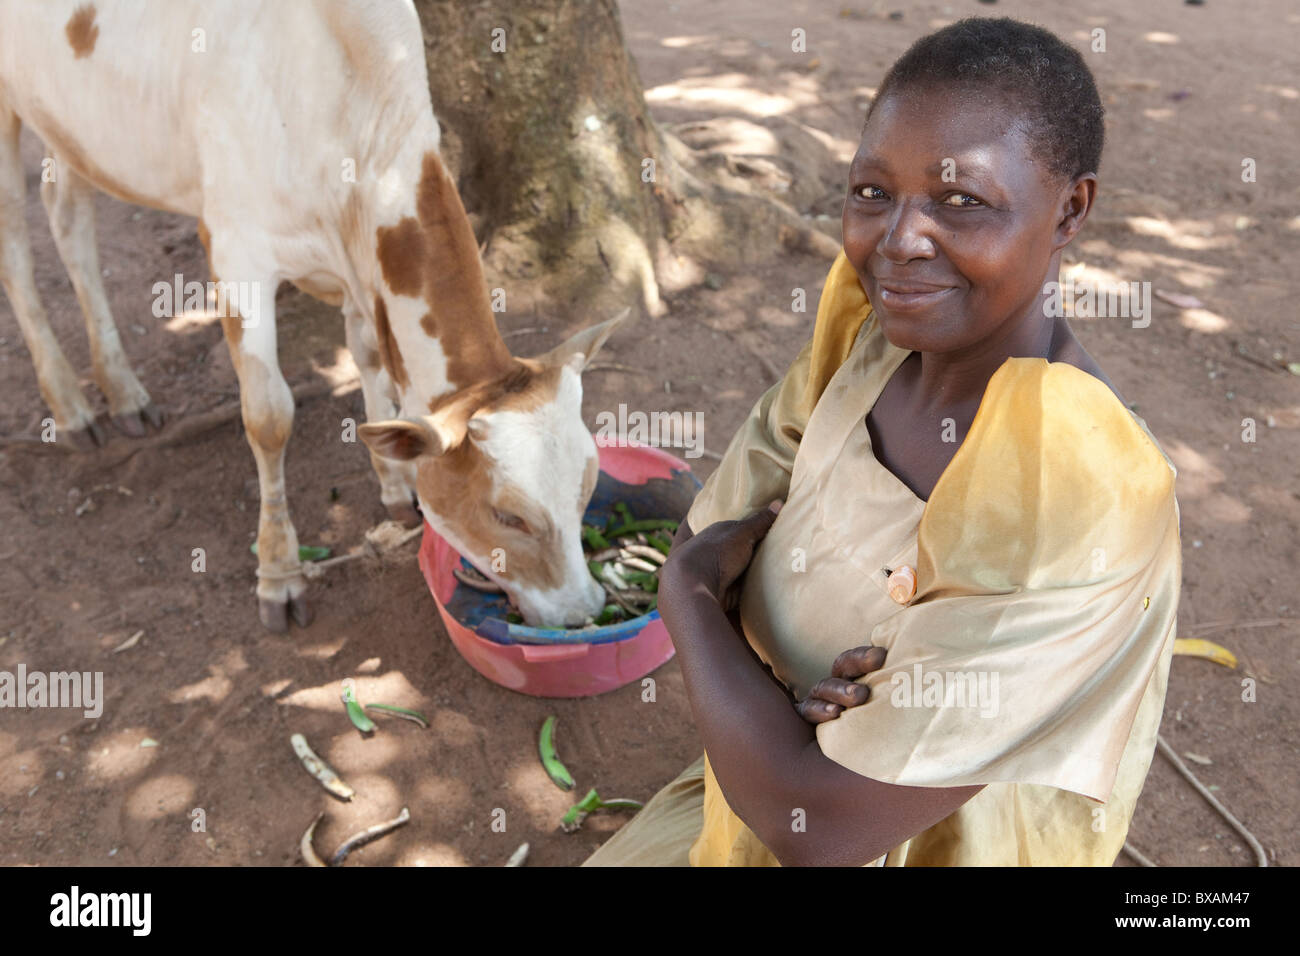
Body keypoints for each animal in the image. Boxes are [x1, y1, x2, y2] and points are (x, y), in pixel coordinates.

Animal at [0, 0, 618, 632]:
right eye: (507, 516)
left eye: (587, 485)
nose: (585, 611)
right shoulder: (237, 249)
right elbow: (269, 416)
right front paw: (279, 575)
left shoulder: (358, 261)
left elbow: (369, 358)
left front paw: (396, 486)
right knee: (16, 239)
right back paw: (70, 407)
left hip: (69, 125)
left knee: (69, 218)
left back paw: (123, 392)